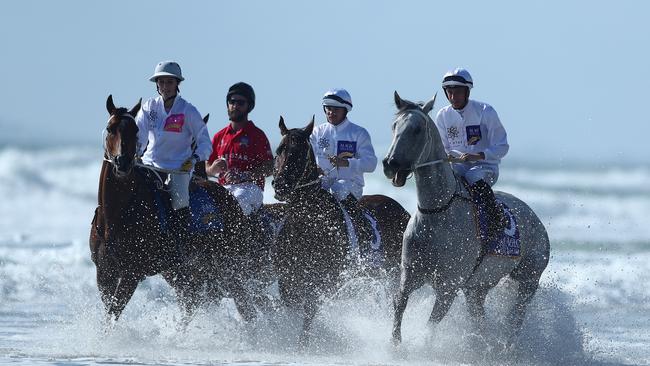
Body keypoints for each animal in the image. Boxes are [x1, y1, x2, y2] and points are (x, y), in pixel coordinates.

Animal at [89, 95, 260, 324]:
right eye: (110, 129)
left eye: (135, 130)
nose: (122, 163)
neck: (115, 216)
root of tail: (231, 200)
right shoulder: (104, 272)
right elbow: (108, 315)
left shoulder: (131, 273)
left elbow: (113, 314)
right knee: (192, 305)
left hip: (227, 268)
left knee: (245, 306)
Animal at [268, 116, 404, 344]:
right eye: (279, 150)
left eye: (299, 152)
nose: (280, 186)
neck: (307, 225)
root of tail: (403, 211)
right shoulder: (287, 281)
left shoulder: (323, 283)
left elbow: (307, 317)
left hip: (393, 275)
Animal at [382, 91, 548, 346]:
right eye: (394, 126)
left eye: (417, 129)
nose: (391, 165)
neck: (437, 213)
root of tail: (535, 219)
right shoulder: (410, 275)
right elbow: (399, 304)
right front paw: (395, 345)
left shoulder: (447, 287)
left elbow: (431, 326)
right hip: (477, 288)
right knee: (481, 319)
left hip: (528, 281)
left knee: (515, 319)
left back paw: (506, 347)